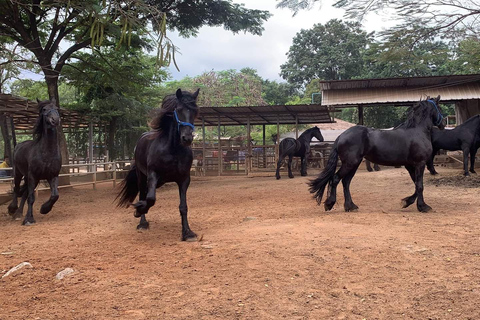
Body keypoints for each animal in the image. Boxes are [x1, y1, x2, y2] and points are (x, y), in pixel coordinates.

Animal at [7, 97, 61, 225]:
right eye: (44, 109)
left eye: (56, 108)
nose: (55, 120)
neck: (46, 154)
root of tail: (18, 146)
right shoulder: (33, 176)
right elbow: (31, 198)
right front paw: (29, 219)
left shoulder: (52, 175)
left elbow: (55, 195)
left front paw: (44, 209)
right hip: (19, 174)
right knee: (17, 189)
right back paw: (13, 209)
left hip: (28, 178)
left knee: (24, 193)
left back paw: (19, 213)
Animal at [117, 87, 200, 240]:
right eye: (178, 109)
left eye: (195, 111)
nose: (187, 138)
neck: (173, 149)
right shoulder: (153, 175)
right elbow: (151, 198)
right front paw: (139, 210)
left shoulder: (184, 179)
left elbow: (183, 207)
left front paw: (187, 233)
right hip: (142, 177)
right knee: (143, 193)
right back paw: (142, 222)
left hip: (160, 181)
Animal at [310, 96, 444, 214]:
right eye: (439, 107)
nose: (442, 124)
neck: (417, 131)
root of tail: (341, 136)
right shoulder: (419, 164)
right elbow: (420, 185)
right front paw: (423, 207)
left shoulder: (410, 165)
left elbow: (416, 184)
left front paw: (406, 202)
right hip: (350, 163)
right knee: (336, 179)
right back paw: (330, 204)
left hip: (354, 164)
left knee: (346, 182)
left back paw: (350, 206)